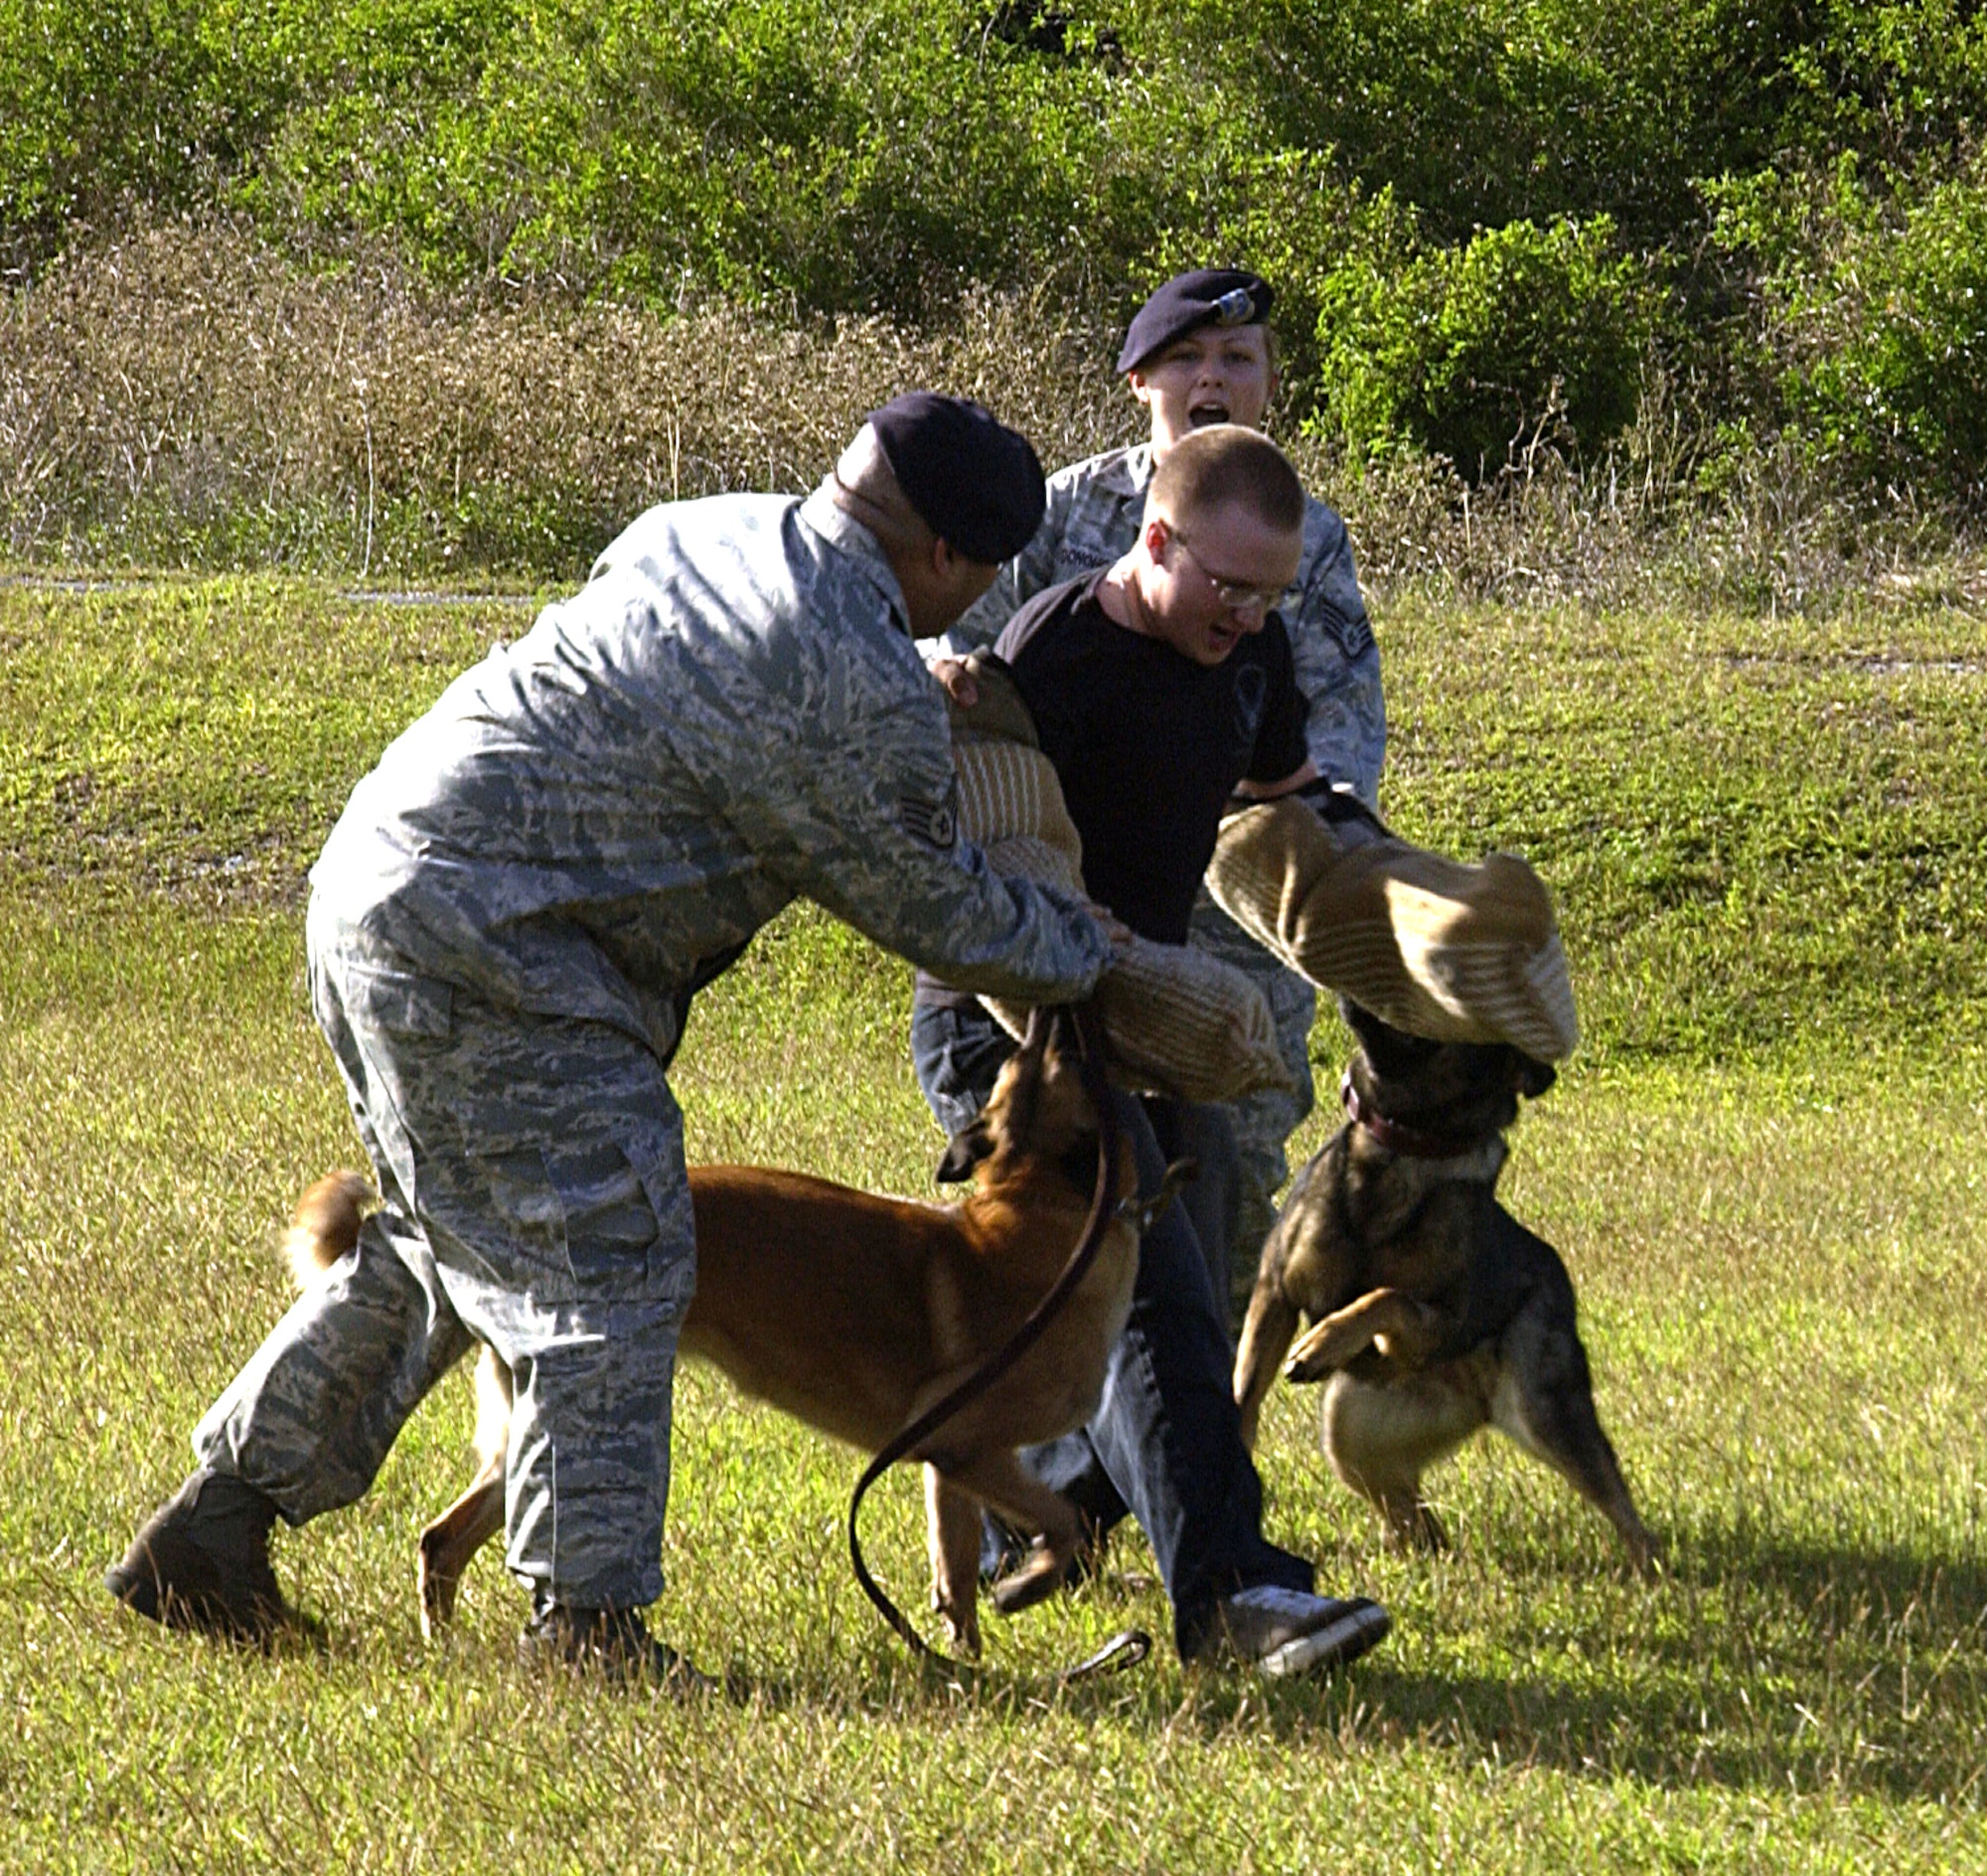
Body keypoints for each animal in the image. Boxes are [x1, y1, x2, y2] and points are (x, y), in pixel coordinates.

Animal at [286, 1010, 1145, 1653]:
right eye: (1042, 1059)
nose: (1055, 1012)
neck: (1037, 1206)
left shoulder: (948, 1463)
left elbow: (956, 1576)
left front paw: (966, 1661)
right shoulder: (966, 1444)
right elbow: (1066, 1522)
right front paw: (1028, 1585)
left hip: (529, 1439)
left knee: (441, 1540)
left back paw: (446, 1642)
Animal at [1232, 1006, 1653, 1574]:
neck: (1404, 1142)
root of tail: (1480, 1407)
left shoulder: (1440, 1324)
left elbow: (1385, 1296)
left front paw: (1326, 1340)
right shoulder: (1276, 1293)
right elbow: (1243, 1391)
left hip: (1545, 1414)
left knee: (1626, 1513)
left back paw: (1652, 1574)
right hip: (1351, 1436)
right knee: (1425, 1529)